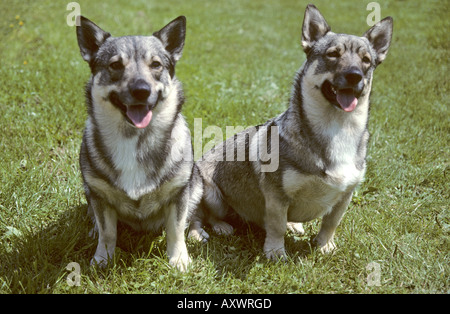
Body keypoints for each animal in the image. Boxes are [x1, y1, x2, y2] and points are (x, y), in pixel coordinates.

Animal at [76, 14, 202, 272]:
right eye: (115, 65)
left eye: (156, 65)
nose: (141, 90)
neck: (133, 138)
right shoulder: (99, 195)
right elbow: (107, 232)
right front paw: (102, 259)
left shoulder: (179, 193)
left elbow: (176, 229)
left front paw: (179, 259)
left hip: (196, 184)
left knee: (192, 216)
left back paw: (196, 233)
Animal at [190, 4, 394, 260]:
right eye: (332, 55)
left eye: (366, 60)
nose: (355, 75)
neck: (337, 127)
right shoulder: (277, 195)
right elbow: (276, 225)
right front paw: (276, 252)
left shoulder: (345, 195)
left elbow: (331, 223)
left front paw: (324, 246)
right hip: (209, 194)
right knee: (201, 216)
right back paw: (213, 229)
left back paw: (294, 225)